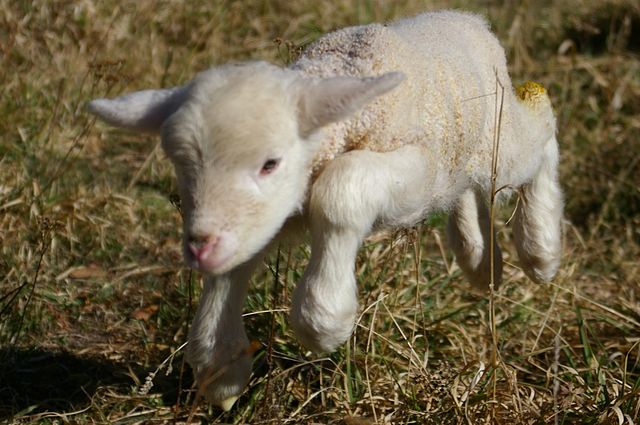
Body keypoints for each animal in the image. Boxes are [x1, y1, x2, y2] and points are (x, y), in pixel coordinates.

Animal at [87, 10, 563, 411]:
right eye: (182, 166)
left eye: (270, 163)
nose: (199, 249)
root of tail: (470, 19)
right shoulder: (262, 218)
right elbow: (235, 264)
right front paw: (222, 368)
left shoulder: (416, 168)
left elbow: (342, 188)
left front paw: (323, 319)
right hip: (461, 153)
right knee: (465, 190)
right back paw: (481, 263)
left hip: (496, 143)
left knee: (542, 132)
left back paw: (540, 248)